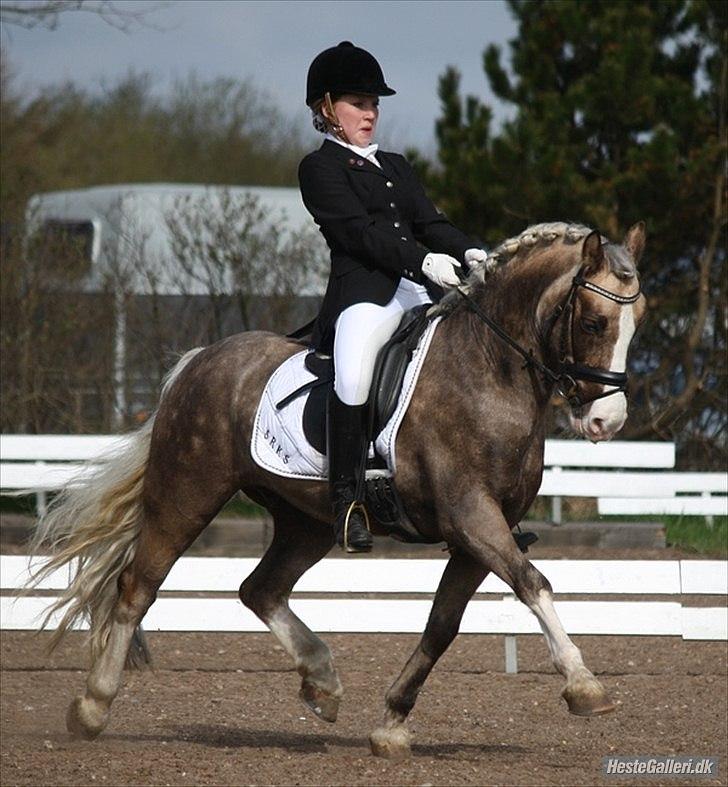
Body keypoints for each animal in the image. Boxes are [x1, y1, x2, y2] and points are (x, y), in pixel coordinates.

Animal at [29, 220, 647, 759]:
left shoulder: (476, 537)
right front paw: (585, 686)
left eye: (637, 321)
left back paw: (322, 682)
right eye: (595, 323)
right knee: (139, 586)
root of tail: (199, 361)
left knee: (260, 589)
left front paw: (392, 725)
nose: (607, 422)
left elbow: (443, 625)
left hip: (308, 520)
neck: (490, 367)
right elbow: (533, 584)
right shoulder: (472, 515)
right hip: (187, 493)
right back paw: (92, 707)